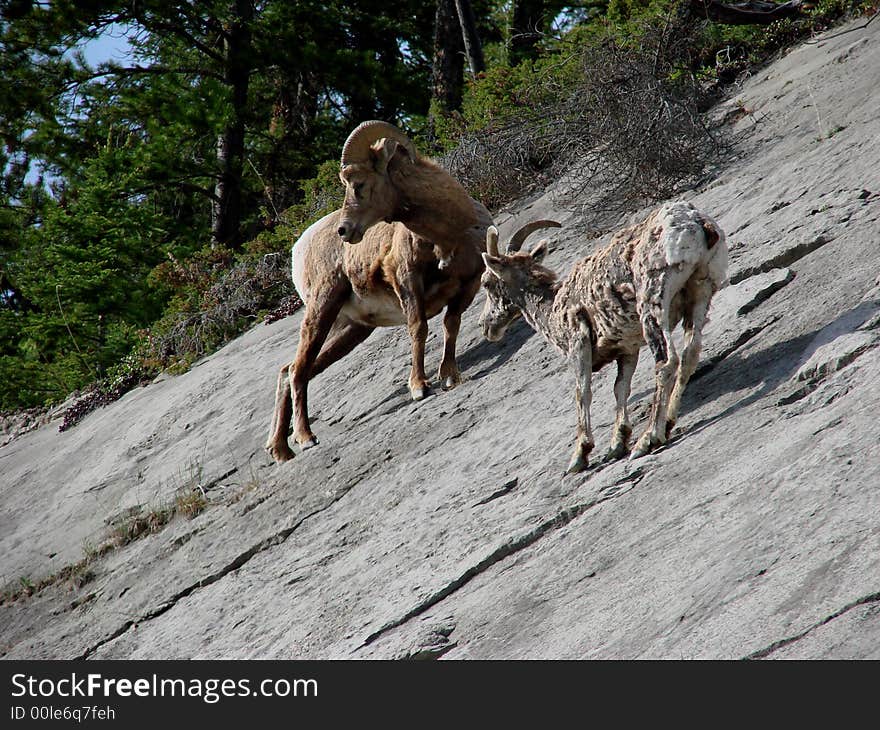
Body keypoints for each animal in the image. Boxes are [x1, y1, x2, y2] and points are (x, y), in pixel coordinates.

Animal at [264, 119, 492, 460]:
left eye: (359, 184)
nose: (344, 230)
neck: (450, 234)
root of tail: (297, 249)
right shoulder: (407, 281)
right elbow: (419, 329)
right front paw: (419, 387)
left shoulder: (469, 284)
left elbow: (451, 325)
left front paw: (449, 376)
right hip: (322, 309)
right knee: (298, 370)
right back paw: (305, 438)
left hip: (349, 329)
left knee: (287, 370)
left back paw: (280, 450)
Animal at [482, 199, 728, 472]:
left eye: (486, 283)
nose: (487, 326)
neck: (554, 305)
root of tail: (696, 223)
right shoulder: (628, 349)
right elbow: (620, 388)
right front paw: (616, 444)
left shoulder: (579, 345)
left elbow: (582, 392)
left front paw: (580, 456)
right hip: (700, 293)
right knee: (689, 357)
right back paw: (667, 425)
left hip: (652, 303)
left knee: (666, 363)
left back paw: (648, 439)